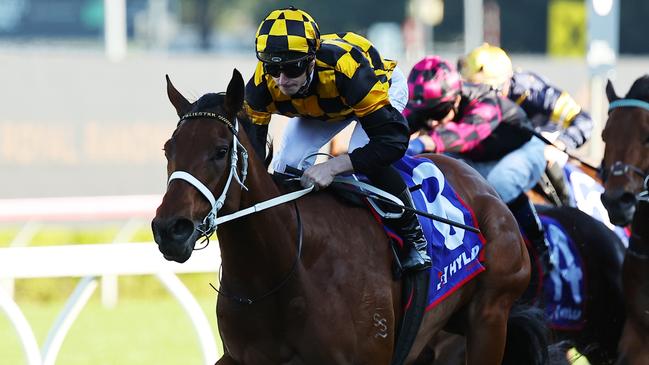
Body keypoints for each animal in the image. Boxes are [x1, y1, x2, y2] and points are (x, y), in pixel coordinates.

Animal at [151, 69, 548, 362]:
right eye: (169, 148)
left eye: (220, 151)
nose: (170, 229)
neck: (281, 269)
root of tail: (487, 192)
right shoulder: (241, 357)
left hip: (490, 317)